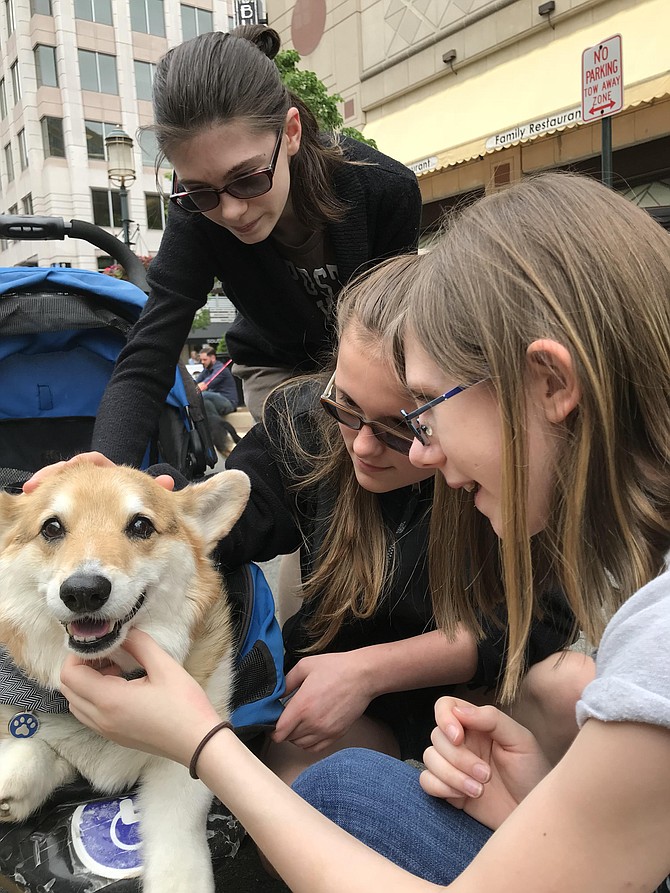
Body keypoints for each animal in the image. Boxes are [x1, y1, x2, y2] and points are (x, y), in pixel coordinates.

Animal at [0, 460, 251, 892]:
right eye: (51, 528)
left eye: (140, 525)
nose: (83, 592)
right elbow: (38, 744)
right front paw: (12, 781)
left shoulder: (180, 766)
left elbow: (178, 846)